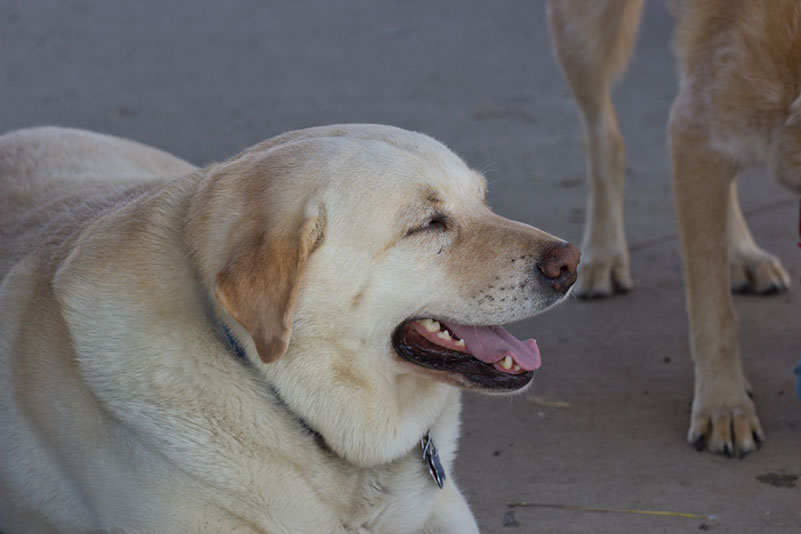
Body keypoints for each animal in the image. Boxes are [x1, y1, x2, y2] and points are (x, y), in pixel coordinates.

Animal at [548, 0, 800, 458]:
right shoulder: (693, 135)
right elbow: (713, 314)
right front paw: (724, 406)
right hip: (583, 30)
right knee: (603, 137)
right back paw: (604, 254)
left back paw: (742, 254)